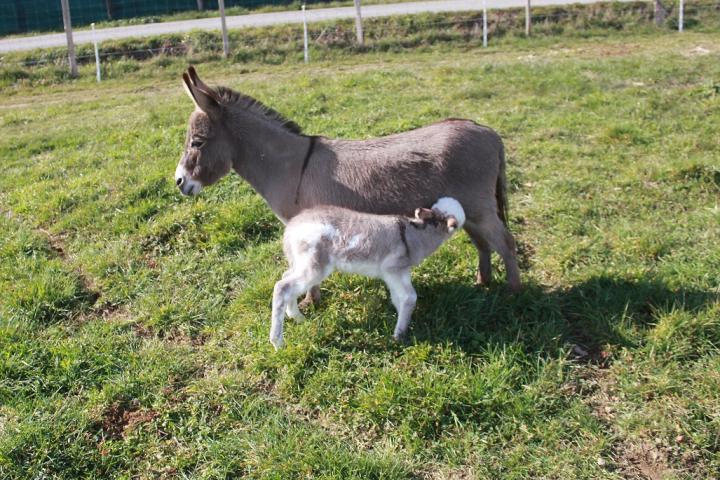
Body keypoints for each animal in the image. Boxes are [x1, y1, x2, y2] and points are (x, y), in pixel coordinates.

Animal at [272, 197, 466, 350]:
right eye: (437, 217)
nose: (419, 210)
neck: (413, 234)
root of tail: (292, 228)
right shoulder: (395, 270)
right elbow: (410, 298)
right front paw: (399, 336)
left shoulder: (395, 275)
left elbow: (398, 299)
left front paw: (399, 331)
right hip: (314, 265)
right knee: (282, 287)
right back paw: (277, 342)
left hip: (300, 262)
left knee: (286, 278)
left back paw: (297, 317)